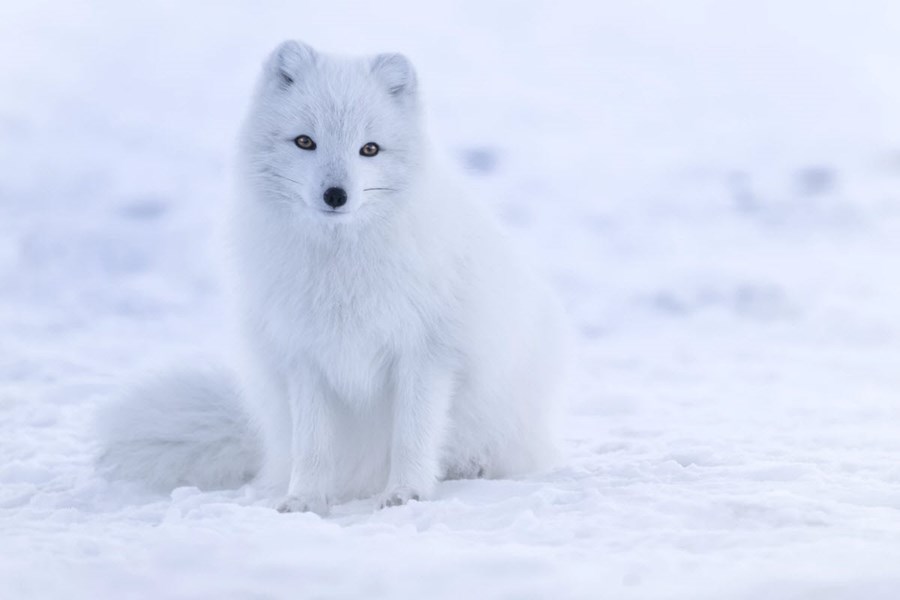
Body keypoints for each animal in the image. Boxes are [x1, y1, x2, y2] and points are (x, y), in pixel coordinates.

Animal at [97, 40, 570, 514]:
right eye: (305, 141)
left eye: (370, 149)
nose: (336, 195)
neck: (341, 266)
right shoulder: (304, 357)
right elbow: (313, 446)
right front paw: (304, 500)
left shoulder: (426, 353)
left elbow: (412, 436)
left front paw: (406, 493)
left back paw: (469, 467)